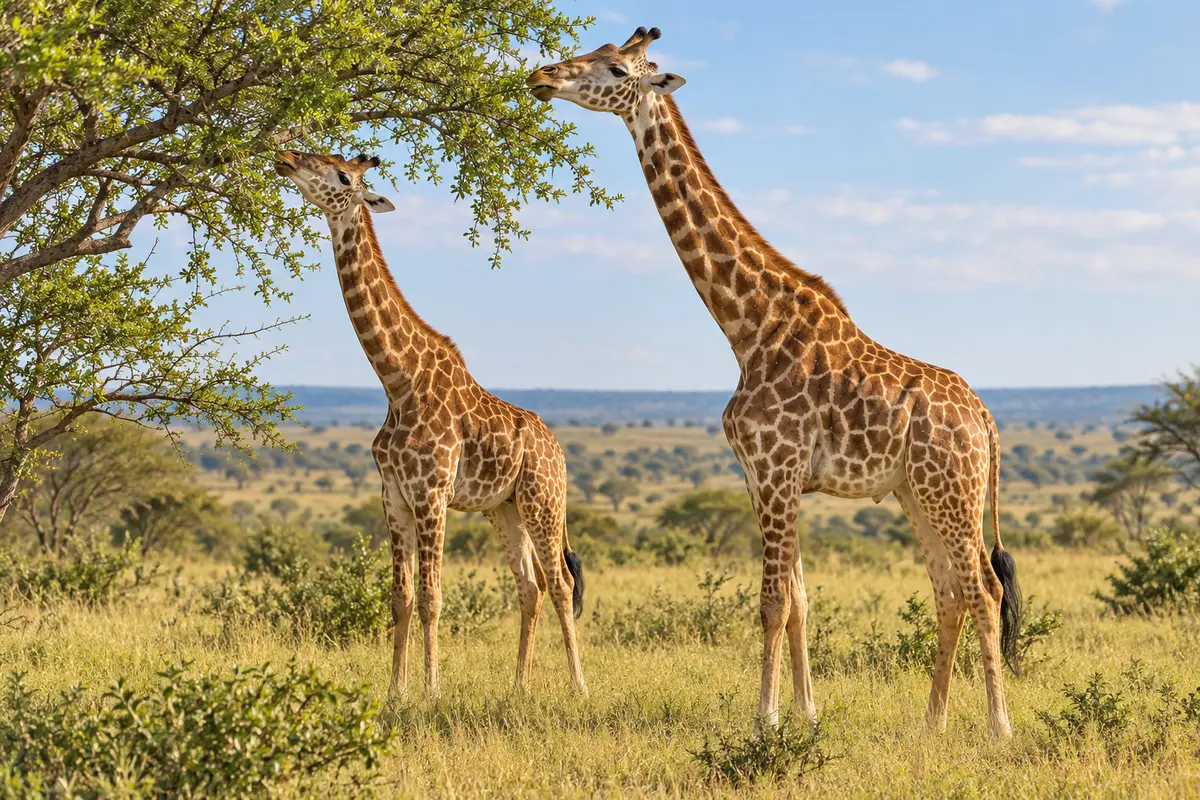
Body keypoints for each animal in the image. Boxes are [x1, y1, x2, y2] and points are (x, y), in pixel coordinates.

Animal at [273, 150, 586, 697]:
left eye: (342, 175)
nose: (286, 158)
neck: (397, 380)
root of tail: (559, 451)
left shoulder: (431, 493)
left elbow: (431, 597)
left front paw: (431, 690)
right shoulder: (393, 496)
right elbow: (400, 597)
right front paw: (395, 691)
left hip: (543, 501)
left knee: (562, 584)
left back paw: (578, 687)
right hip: (503, 509)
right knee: (530, 586)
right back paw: (519, 687)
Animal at [527, 28, 1021, 740]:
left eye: (617, 68)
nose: (540, 76)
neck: (749, 326)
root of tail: (986, 420)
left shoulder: (775, 468)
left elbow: (770, 601)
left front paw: (765, 721)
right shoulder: (768, 477)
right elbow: (799, 600)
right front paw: (807, 715)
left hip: (951, 489)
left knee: (984, 588)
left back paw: (998, 727)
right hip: (917, 493)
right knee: (951, 590)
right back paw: (931, 724)